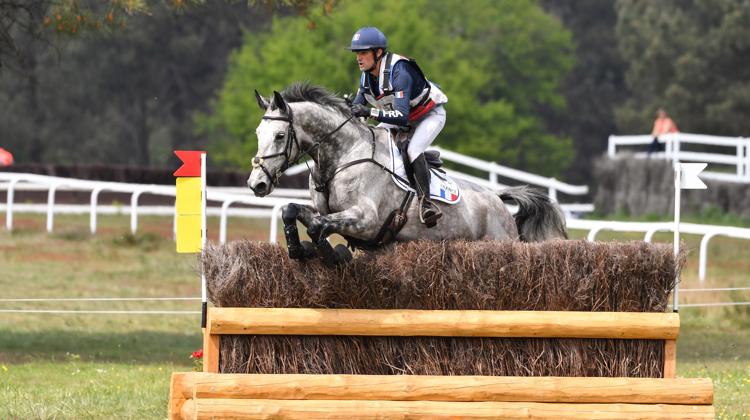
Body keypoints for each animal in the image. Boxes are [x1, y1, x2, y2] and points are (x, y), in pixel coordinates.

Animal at [250, 83, 568, 264]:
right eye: (257, 134)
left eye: (280, 135)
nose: (257, 184)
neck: (342, 156)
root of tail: (498, 199)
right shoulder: (325, 211)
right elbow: (292, 211)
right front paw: (297, 249)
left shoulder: (366, 220)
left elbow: (318, 226)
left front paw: (332, 256)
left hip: (498, 240)